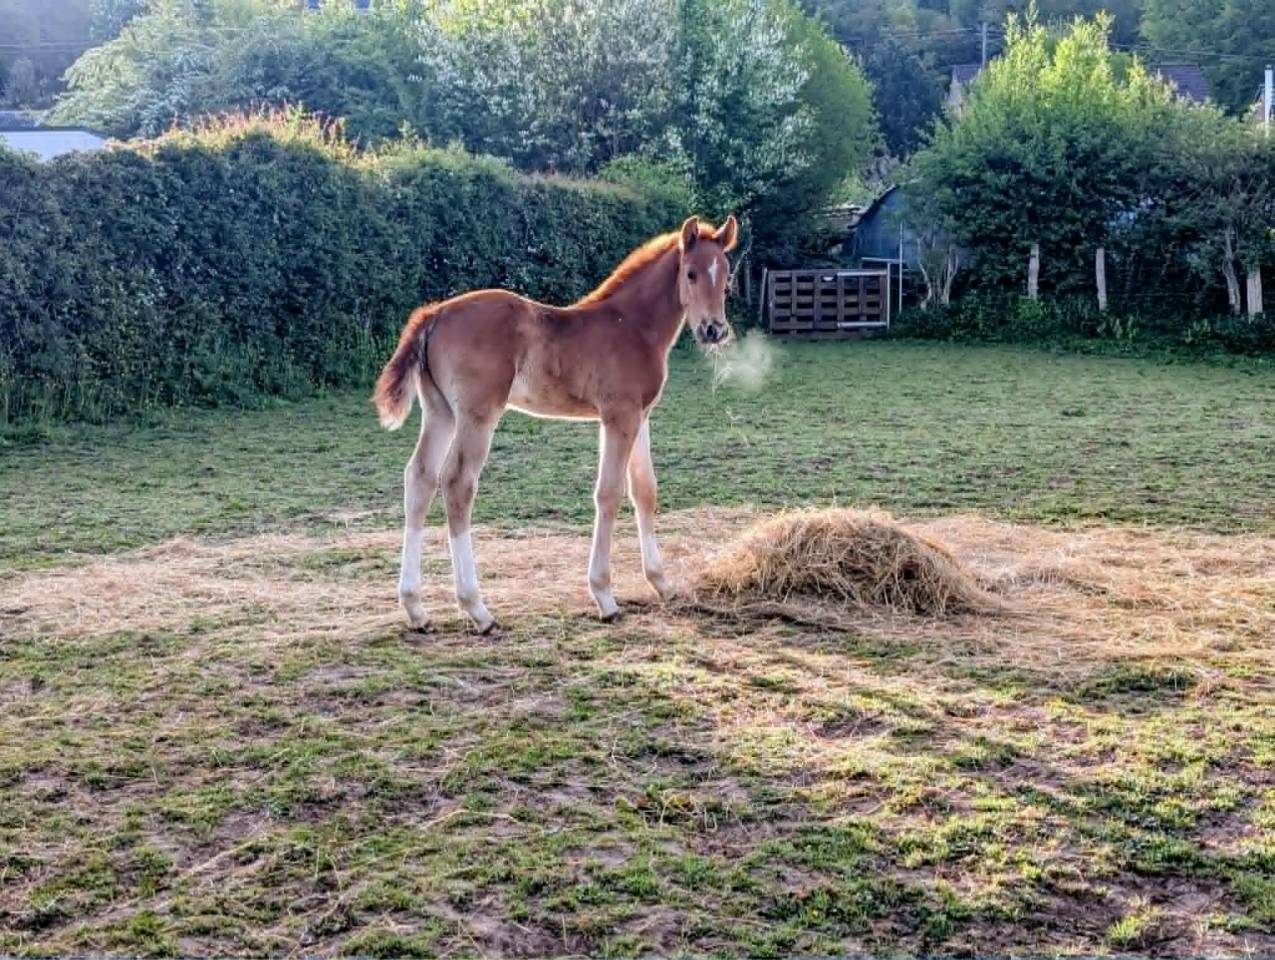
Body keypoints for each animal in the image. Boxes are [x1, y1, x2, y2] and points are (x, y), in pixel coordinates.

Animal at [373, 214, 738, 633]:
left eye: (726, 275)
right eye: (690, 273)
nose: (714, 330)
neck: (632, 325)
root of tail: (435, 315)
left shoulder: (641, 416)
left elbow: (645, 490)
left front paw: (662, 584)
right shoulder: (619, 415)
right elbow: (609, 493)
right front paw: (604, 595)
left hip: (440, 412)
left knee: (420, 478)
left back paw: (415, 608)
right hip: (477, 414)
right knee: (457, 484)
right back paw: (478, 609)